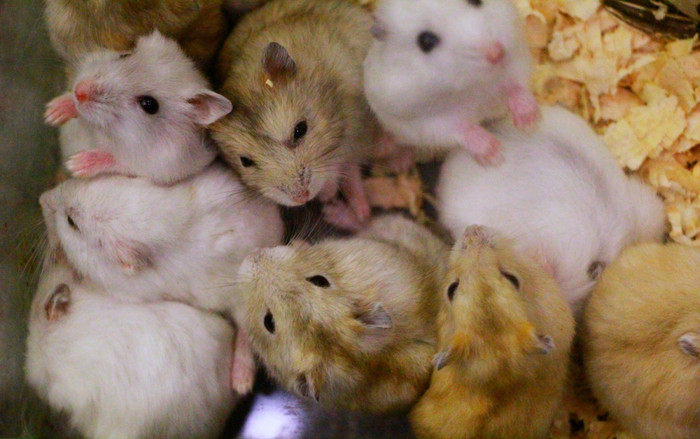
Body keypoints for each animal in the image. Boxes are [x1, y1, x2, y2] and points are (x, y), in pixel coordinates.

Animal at [44, 31, 232, 184]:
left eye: (149, 105)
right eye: (124, 55)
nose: (80, 90)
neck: (106, 133)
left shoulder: (157, 168)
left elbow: (115, 160)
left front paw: (75, 164)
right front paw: (51, 113)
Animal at [212, 0, 378, 228]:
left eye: (300, 130)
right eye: (244, 161)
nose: (302, 198)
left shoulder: (354, 121)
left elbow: (338, 162)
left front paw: (327, 193)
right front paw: (327, 195)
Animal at [363, 0, 539, 166]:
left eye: (476, 1)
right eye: (426, 41)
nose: (497, 53)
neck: (474, 85)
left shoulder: (517, 58)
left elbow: (517, 86)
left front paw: (528, 123)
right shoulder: (423, 122)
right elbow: (459, 129)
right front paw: (495, 155)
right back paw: (391, 156)